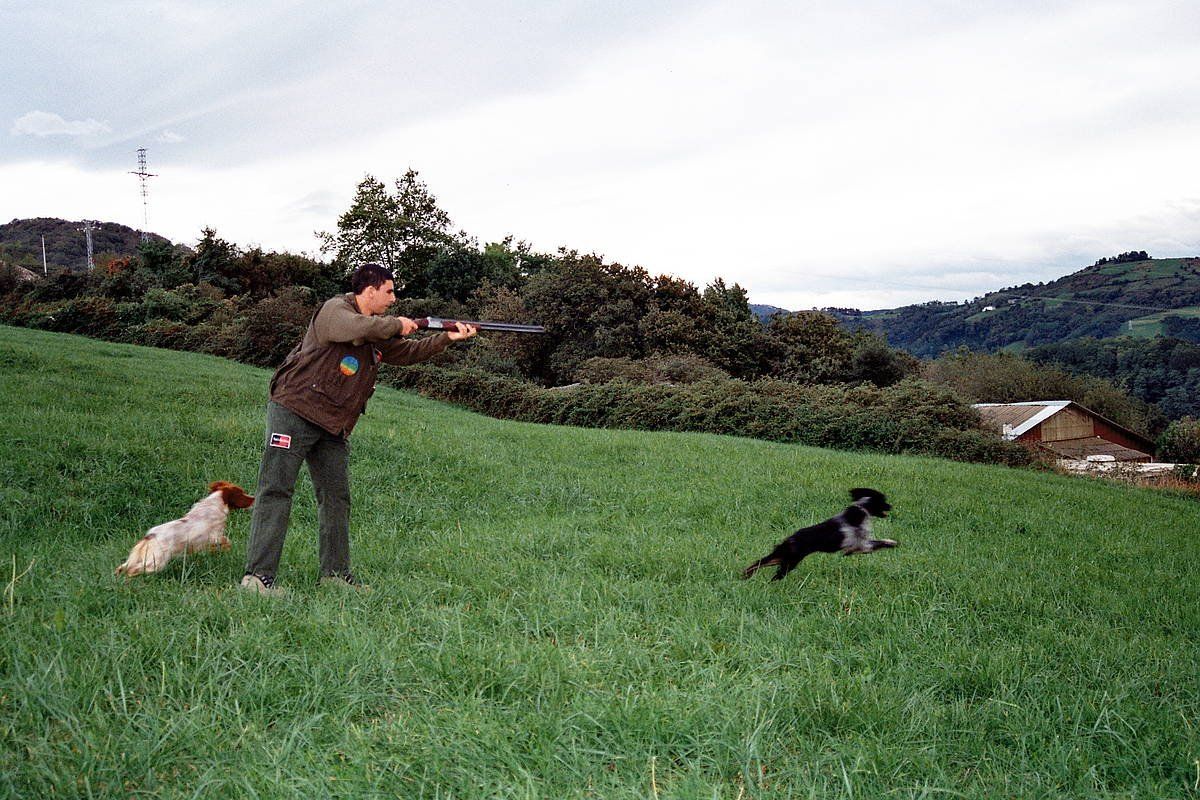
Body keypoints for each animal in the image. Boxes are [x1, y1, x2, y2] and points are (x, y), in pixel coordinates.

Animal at [115, 482, 254, 575]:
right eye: (242, 493)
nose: (254, 498)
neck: (214, 504)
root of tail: (149, 537)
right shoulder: (214, 537)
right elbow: (227, 542)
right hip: (155, 563)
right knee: (132, 570)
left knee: (122, 568)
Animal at [739, 489, 902, 582]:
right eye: (883, 500)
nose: (891, 506)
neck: (860, 510)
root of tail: (790, 539)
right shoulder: (860, 545)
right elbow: (880, 543)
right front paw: (892, 542)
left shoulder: (860, 544)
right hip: (790, 561)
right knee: (774, 575)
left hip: (782, 556)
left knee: (758, 563)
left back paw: (745, 575)